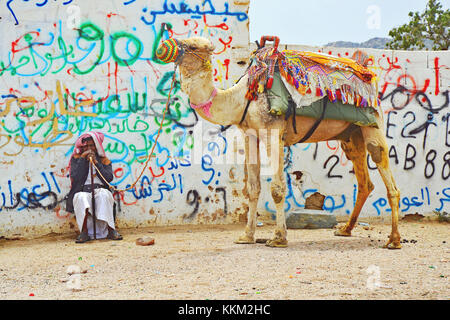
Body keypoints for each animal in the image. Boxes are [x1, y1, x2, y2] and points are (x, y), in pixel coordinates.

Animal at [156, 36, 402, 249]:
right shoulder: (250, 135)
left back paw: (394, 240)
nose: (164, 45)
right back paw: (345, 229)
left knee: (386, 172)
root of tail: (369, 75)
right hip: (351, 135)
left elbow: (277, 189)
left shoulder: (274, 132)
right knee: (364, 181)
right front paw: (247, 236)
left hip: (373, 124)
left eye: (193, 46)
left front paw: (278, 237)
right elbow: (252, 188)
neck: (242, 98)